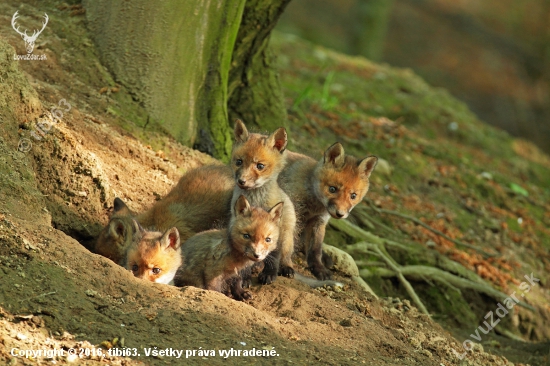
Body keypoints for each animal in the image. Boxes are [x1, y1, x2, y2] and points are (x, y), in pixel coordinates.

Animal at [231, 118, 298, 284]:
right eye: (239, 162)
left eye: (260, 166)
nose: (241, 181)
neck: (256, 201)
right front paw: (246, 277)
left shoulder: (275, 229)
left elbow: (274, 256)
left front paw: (269, 274)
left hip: (287, 235)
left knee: (286, 256)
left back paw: (286, 267)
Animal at [280, 143, 380, 280]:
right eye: (332, 189)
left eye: (353, 196)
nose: (340, 214)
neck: (315, 206)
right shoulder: (292, 213)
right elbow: (286, 242)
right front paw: (285, 265)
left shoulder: (319, 220)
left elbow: (315, 250)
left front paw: (319, 269)